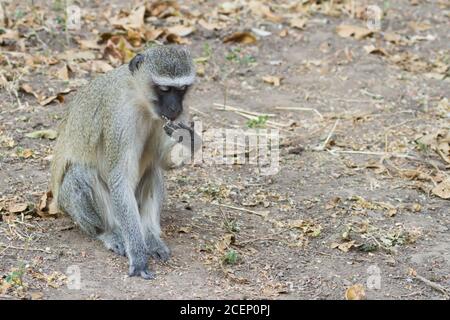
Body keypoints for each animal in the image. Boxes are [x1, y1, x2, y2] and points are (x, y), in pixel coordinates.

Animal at [50, 45, 198, 280]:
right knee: (81, 175)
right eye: (164, 89)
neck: (140, 100)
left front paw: (190, 140)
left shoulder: (172, 120)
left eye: (181, 89)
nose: (175, 108)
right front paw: (138, 256)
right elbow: (120, 179)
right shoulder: (119, 116)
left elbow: (163, 162)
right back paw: (109, 233)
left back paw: (150, 237)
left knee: (153, 171)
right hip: (77, 209)